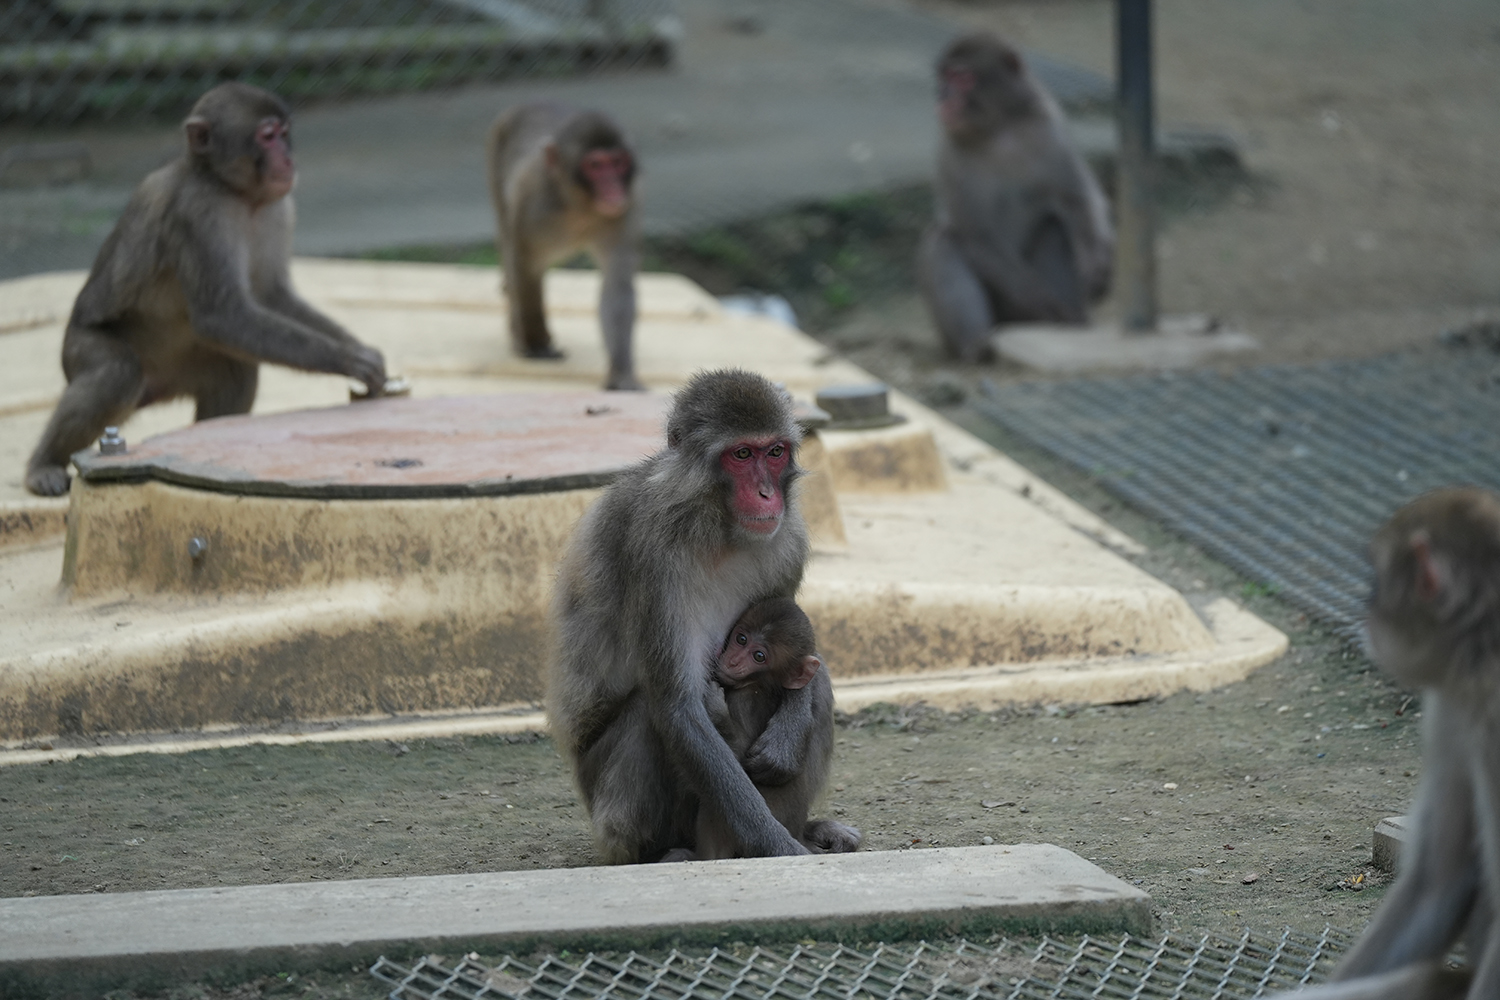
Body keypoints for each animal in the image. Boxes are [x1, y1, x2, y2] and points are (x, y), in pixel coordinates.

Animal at [24, 82, 387, 497]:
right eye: (267, 136)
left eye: (283, 133)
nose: (287, 158)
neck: (233, 191)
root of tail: (156, 389)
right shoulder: (200, 212)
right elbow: (221, 315)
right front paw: (348, 359)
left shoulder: (279, 207)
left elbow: (272, 296)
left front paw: (360, 352)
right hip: (77, 349)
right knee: (117, 373)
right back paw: (44, 464)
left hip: (180, 369)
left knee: (234, 369)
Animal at [486, 101, 639, 389]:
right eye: (595, 165)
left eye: (617, 163)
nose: (613, 187)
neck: (577, 204)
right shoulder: (530, 200)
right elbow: (524, 266)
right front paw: (536, 343)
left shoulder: (628, 204)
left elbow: (617, 282)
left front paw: (622, 372)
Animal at [693, 593, 870, 863]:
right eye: (741, 639)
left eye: (759, 656)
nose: (732, 661)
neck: (759, 684)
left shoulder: (743, 699)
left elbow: (741, 762)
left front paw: (717, 711)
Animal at [912, 33, 1116, 365]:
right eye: (945, 77)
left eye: (962, 78)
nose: (942, 97)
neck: (998, 128)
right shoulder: (948, 153)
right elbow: (976, 235)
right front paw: (1042, 302)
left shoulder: (1048, 128)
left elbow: (1078, 199)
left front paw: (1099, 266)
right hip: (989, 319)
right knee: (943, 241)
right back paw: (976, 345)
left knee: (1053, 226)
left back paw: (1072, 323)